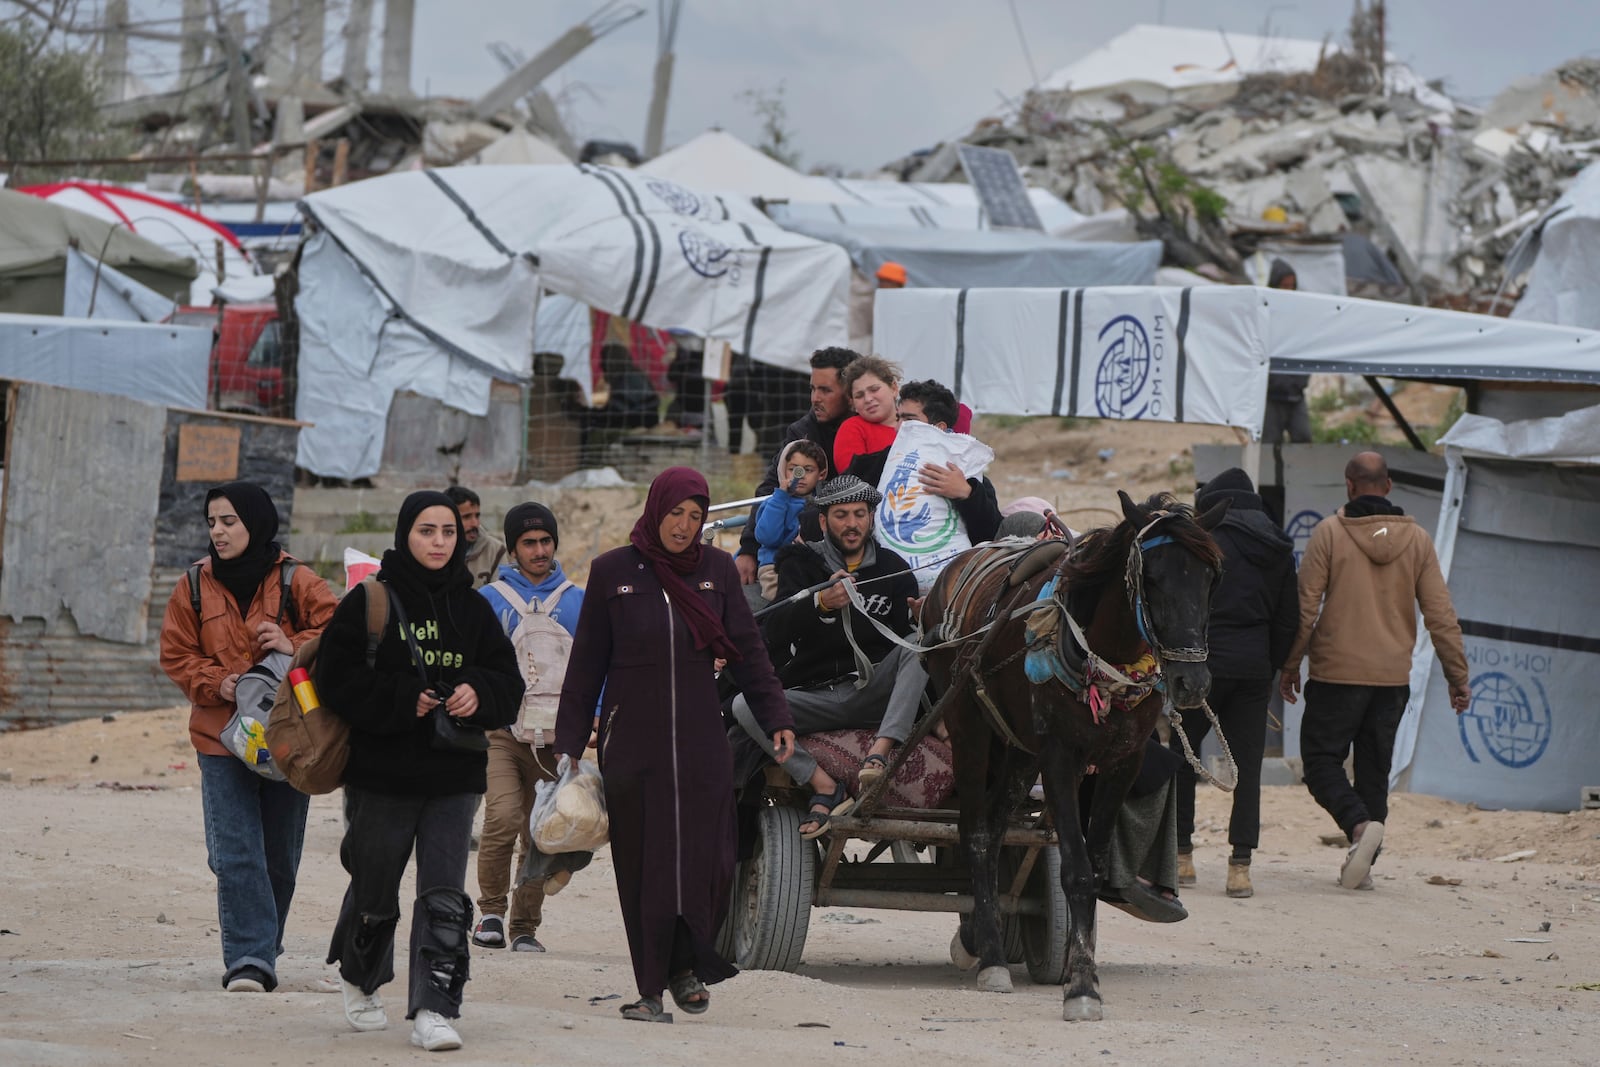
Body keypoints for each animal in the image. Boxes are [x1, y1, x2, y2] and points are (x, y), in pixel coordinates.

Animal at [915, 489, 1222, 1023]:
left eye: (1207, 580)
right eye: (1153, 579)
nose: (1192, 682)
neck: (1103, 651)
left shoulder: (1123, 762)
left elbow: (1095, 869)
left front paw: (1083, 969)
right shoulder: (1061, 757)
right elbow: (1076, 871)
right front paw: (1080, 988)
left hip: (1019, 750)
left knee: (996, 825)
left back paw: (978, 938)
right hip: (970, 726)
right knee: (976, 832)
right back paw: (991, 958)